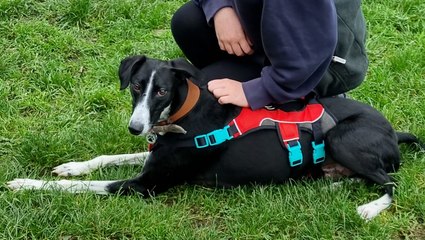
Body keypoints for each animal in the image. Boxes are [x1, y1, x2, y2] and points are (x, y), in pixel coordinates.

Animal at [8, 55, 422, 220]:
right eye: (137, 86)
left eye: (162, 91)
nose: (135, 129)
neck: (181, 118)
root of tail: (393, 131)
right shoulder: (155, 155)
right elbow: (105, 159)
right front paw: (71, 165)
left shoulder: (144, 185)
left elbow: (80, 187)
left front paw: (25, 183)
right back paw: (332, 183)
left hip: (342, 138)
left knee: (392, 183)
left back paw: (369, 208)